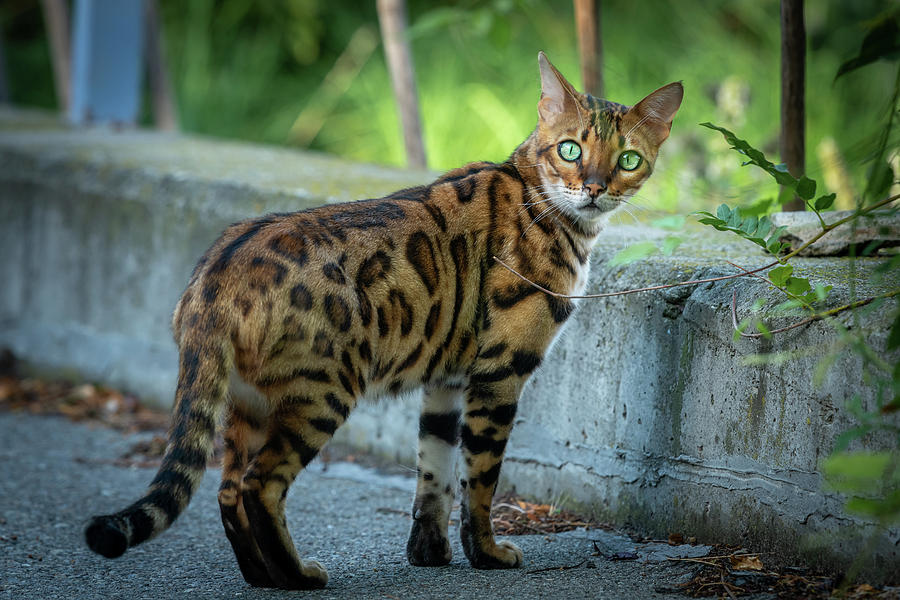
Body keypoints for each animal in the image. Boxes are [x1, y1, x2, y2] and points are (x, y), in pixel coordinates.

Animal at [86, 52, 684, 592]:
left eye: (628, 160)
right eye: (570, 149)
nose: (595, 187)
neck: (546, 203)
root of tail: (214, 276)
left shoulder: (447, 378)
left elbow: (433, 471)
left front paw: (430, 553)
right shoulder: (500, 372)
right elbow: (480, 479)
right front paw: (487, 553)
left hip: (247, 403)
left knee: (228, 489)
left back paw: (261, 576)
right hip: (322, 392)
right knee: (259, 486)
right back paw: (297, 576)